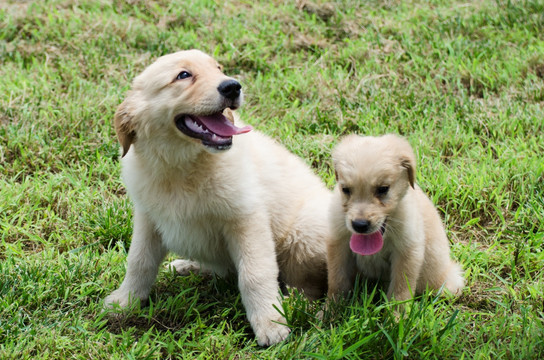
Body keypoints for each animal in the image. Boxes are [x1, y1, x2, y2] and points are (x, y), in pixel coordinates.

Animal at [103, 49, 330, 344]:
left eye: (219, 68)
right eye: (183, 75)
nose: (233, 86)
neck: (183, 167)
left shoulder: (246, 219)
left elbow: (254, 273)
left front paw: (271, 324)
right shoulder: (148, 219)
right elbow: (139, 262)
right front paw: (126, 300)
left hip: (303, 236)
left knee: (310, 285)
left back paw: (300, 306)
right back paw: (187, 266)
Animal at [328, 134, 464, 300]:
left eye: (383, 189)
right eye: (345, 189)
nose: (360, 225)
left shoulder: (407, 250)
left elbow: (401, 288)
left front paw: (396, 308)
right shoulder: (338, 243)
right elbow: (337, 279)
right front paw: (332, 306)